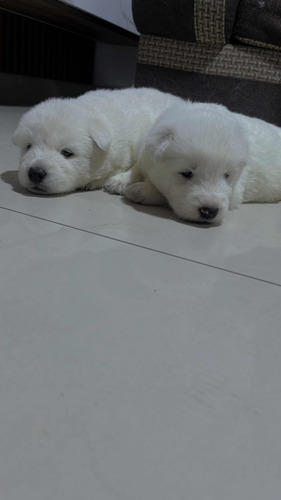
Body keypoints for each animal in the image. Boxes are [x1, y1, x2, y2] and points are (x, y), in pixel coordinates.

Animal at [123, 101, 281, 225]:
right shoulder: (145, 149)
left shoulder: (235, 193)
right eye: (187, 173)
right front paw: (122, 179)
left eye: (227, 175)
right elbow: (138, 165)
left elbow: (163, 194)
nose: (210, 211)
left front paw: (140, 190)